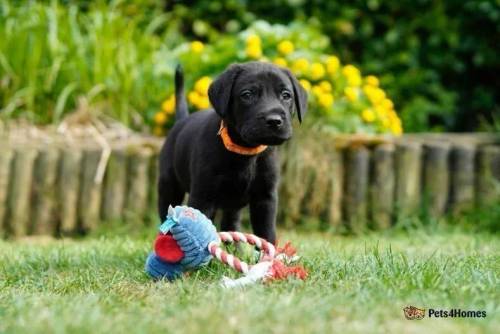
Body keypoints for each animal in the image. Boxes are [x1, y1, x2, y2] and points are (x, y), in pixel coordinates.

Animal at [158, 61, 306, 243]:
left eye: (286, 95)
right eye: (247, 94)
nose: (274, 121)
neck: (246, 151)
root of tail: (182, 121)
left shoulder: (265, 198)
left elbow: (267, 233)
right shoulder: (202, 196)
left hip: (232, 206)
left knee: (231, 225)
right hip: (168, 186)